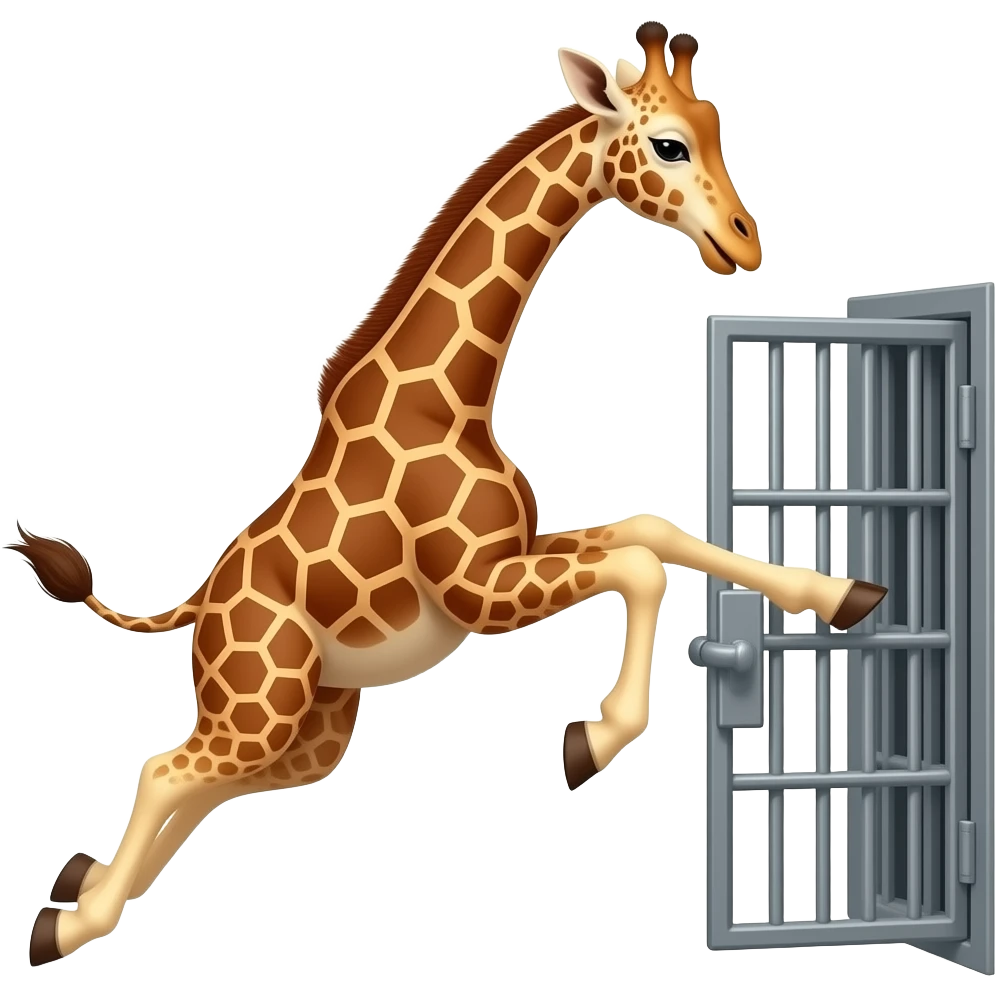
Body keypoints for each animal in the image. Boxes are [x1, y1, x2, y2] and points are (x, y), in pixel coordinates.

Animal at [15, 21, 888, 967]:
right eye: (667, 144)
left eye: (717, 129)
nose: (744, 242)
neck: (452, 398)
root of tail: (200, 606)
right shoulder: (479, 589)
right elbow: (640, 565)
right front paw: (591, 741)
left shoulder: (512, 557)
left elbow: (656, 532)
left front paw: (844, 594)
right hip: (259, 700)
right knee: (163, 770)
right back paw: (66, 924)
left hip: (311, 726)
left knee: (202, 788)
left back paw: (74, 889)